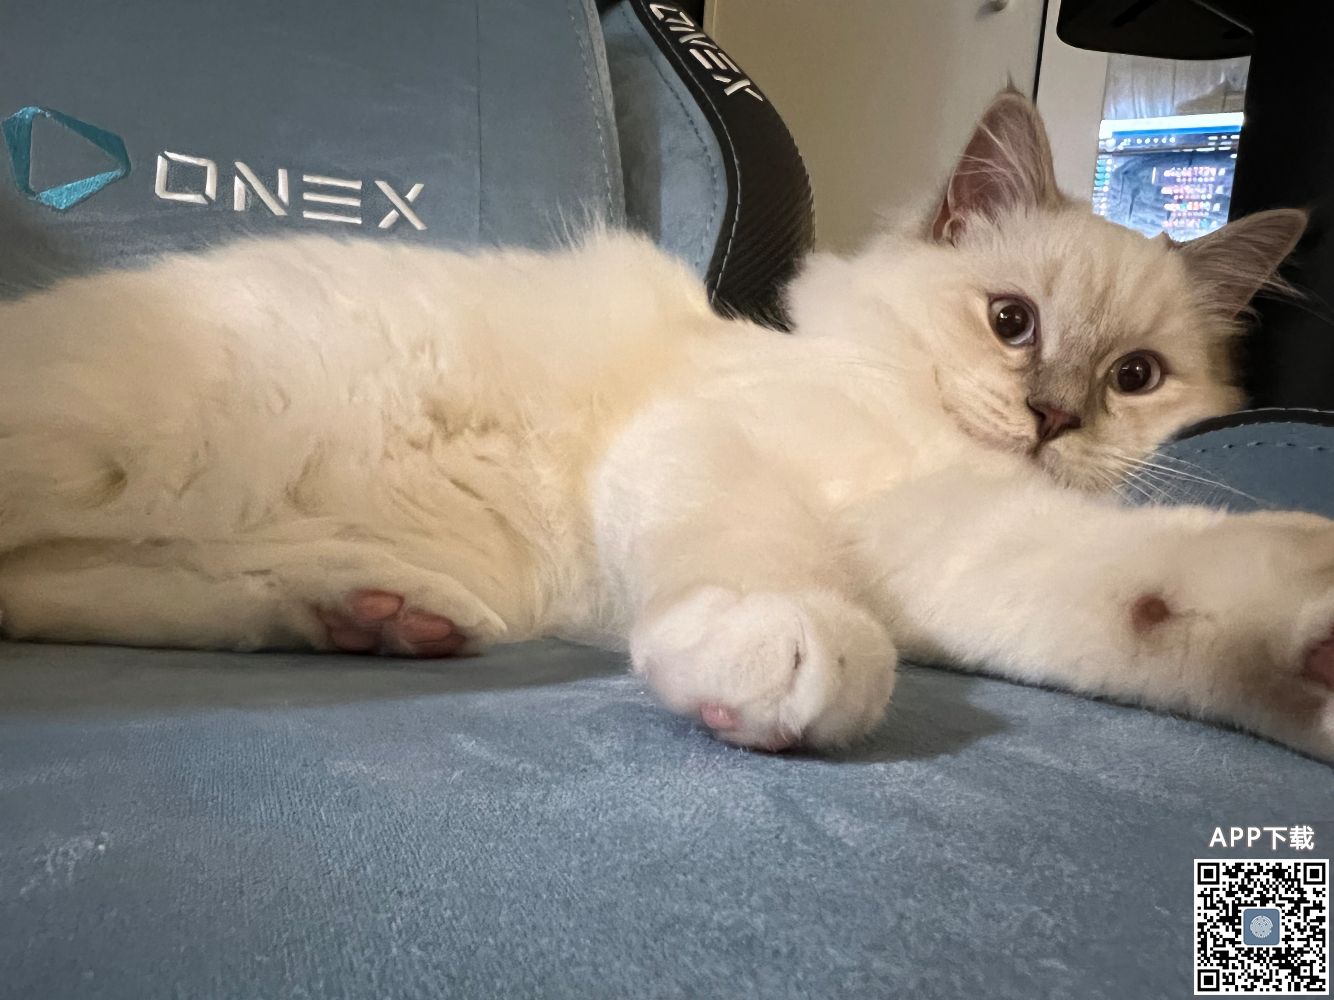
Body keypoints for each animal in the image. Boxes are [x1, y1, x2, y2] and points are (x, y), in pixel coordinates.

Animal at [1, 90, 1331, 759]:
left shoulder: (947, 539)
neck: (911, 418)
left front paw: (1300, 661)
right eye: (1010, 322)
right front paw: (772, 655)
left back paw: (369, 616)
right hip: (122, 444)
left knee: (56, 597)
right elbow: (757, 562)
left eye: (1135, 377)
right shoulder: (710, 449)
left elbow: (1137, 598)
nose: (1050, 419)